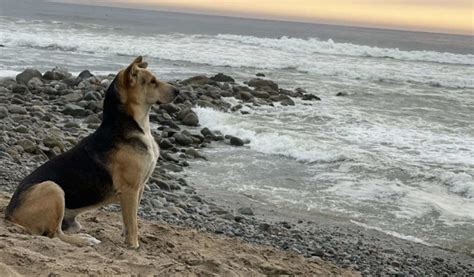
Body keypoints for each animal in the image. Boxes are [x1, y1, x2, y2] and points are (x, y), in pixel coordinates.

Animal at [4, 56, 179, 248]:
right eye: (152, 81)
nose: (178, 91)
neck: (132, 125)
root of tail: (9, 213)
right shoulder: (130, 190)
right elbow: (132, 223)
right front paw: (133, 245)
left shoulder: (139, 188)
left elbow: (128, 221)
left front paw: (126, 237)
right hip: (52, 188)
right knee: (54, 234)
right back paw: (85, 240)